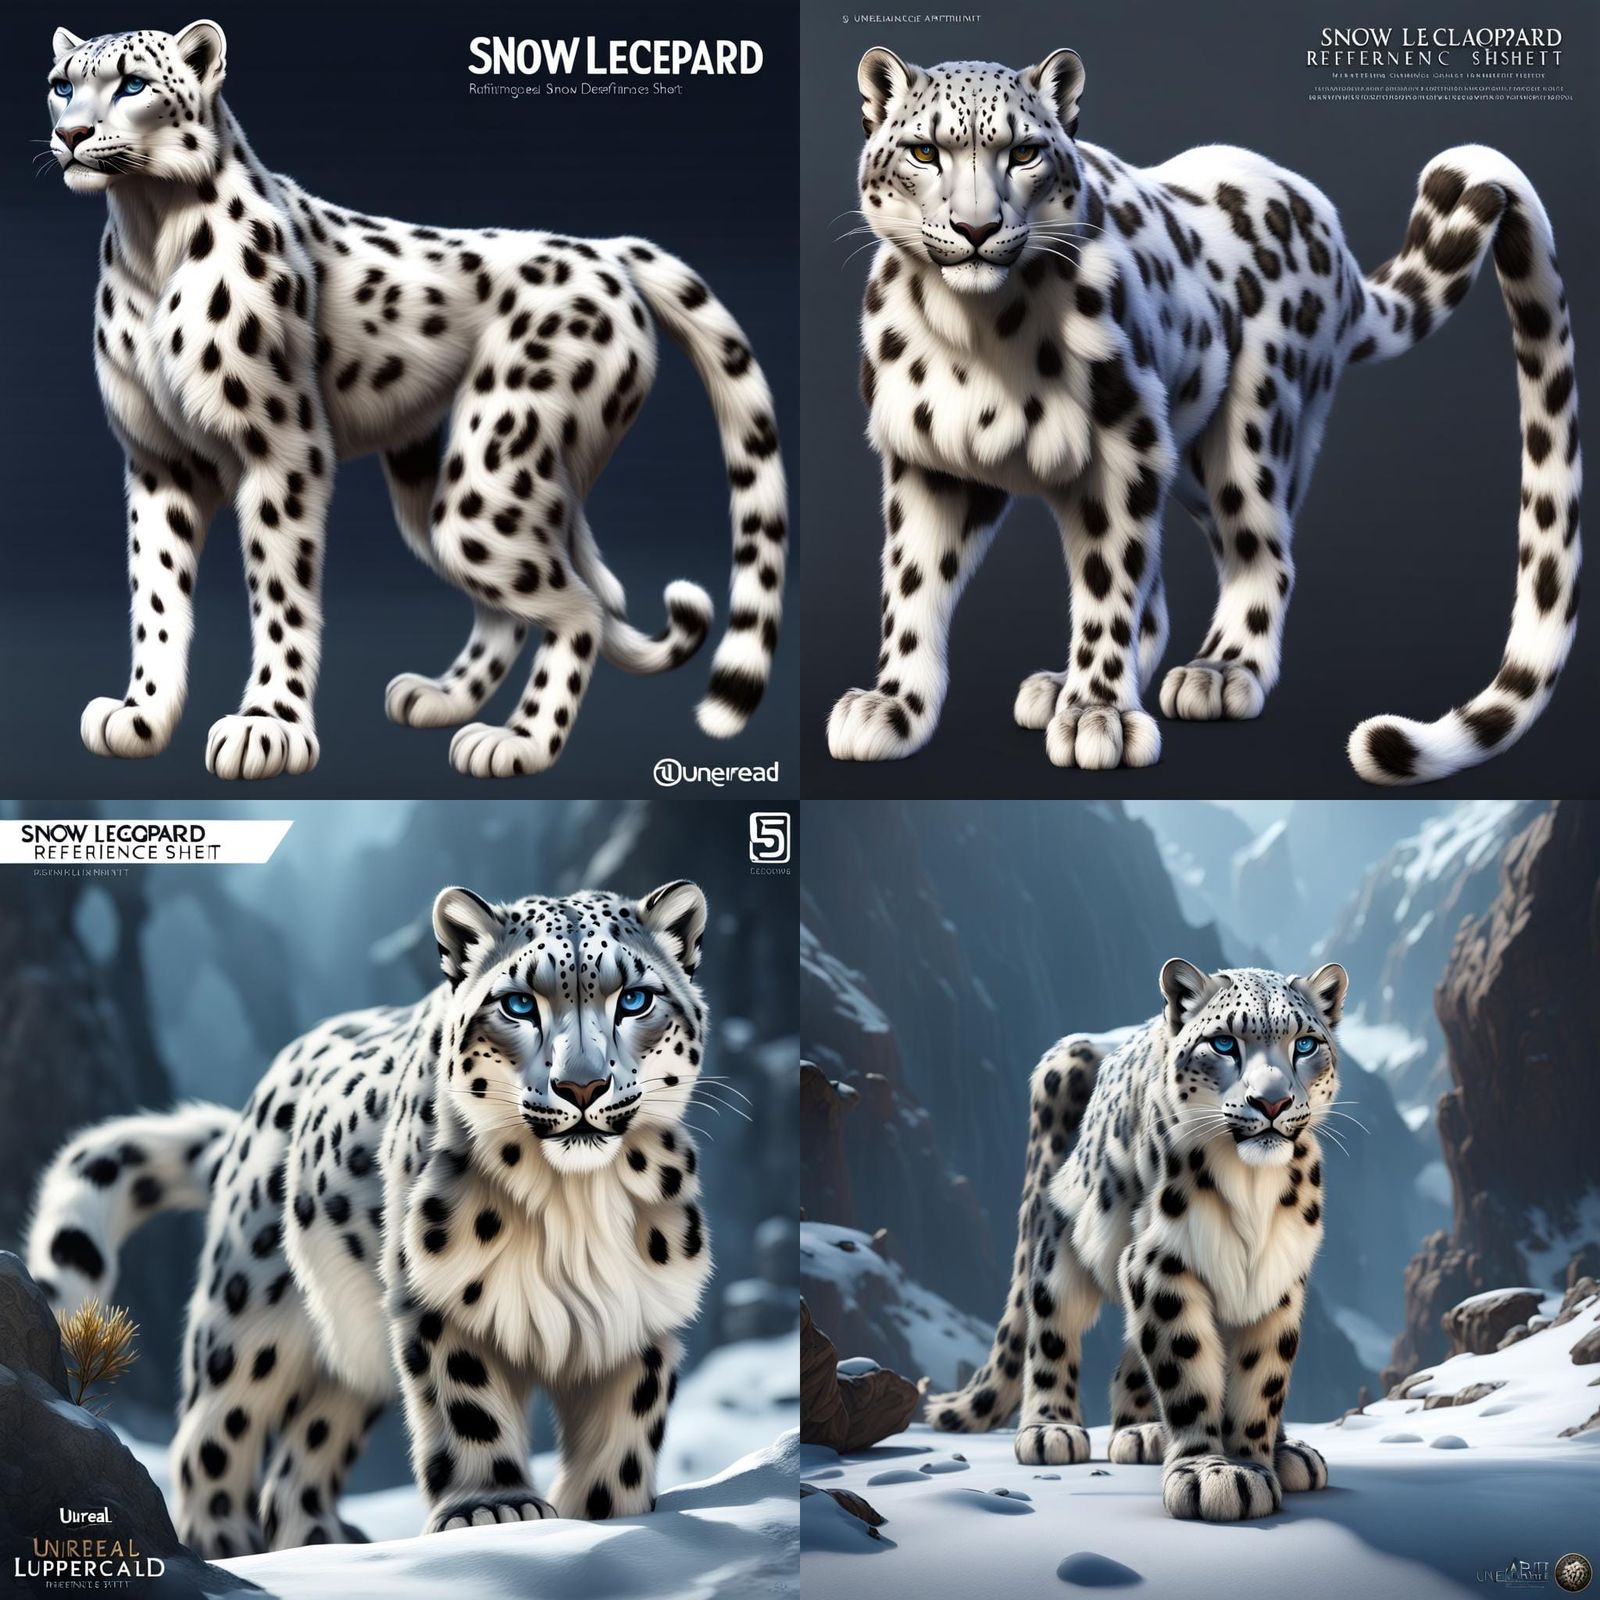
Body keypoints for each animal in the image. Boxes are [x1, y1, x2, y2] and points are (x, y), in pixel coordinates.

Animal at [26, 878, 715, 1555]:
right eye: (519, 1004)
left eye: (635, 999)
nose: (581, 1087)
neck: (574, 1203)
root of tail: (254, 1107)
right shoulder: (438, 1294)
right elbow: (467, 1402)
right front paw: (496, 1511)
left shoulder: (640, 1308)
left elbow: (626, 1423)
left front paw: (608, 1513)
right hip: (249, 1315)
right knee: (213, 1437)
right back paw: (228, 1545)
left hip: (351, 1353)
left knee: (303, 1454)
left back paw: (320, 1540)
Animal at [46, 21, 787, 781]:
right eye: (61, 85)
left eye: (134, 84)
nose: (71, 134)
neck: (149, 229)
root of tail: (601, 249)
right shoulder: (158, 462)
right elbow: (155, 592)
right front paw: (141, 713)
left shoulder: (283, 450)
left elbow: (280, 591)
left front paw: (267, 725)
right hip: (441, 482)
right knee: (530, 599)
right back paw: (445, 698)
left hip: (491, 472)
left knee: (578, 607)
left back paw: (519, 740)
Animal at [829, 46, 1580, 785]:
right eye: (925, 151)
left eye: (1024, 153)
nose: (977, 228)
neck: (976, 331)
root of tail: (1329, 236)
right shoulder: (929, 457)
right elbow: (912, 583)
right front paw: (893, 708)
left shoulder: (1121, 443)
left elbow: (1108, 579)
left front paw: (1098, 714)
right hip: (1184, 457)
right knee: (1166, 586)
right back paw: (1065, 685)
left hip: (1250, 432)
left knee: (1261, 551)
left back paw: (1219, 669)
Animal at [925, 958, 1350, 1523]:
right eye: (1223, 1043)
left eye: (1304, 1044)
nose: (1272, 1101)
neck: (1253, 1189)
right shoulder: (1161, 1259)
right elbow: (1185, 1366)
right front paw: (1213, 1474)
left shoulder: (1278, 1277)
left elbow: (1264, 1377)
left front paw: (1260, 1457)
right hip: (1058, 1243)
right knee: (1051, 1324)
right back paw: (1051, 1429)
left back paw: (1152, 1433)